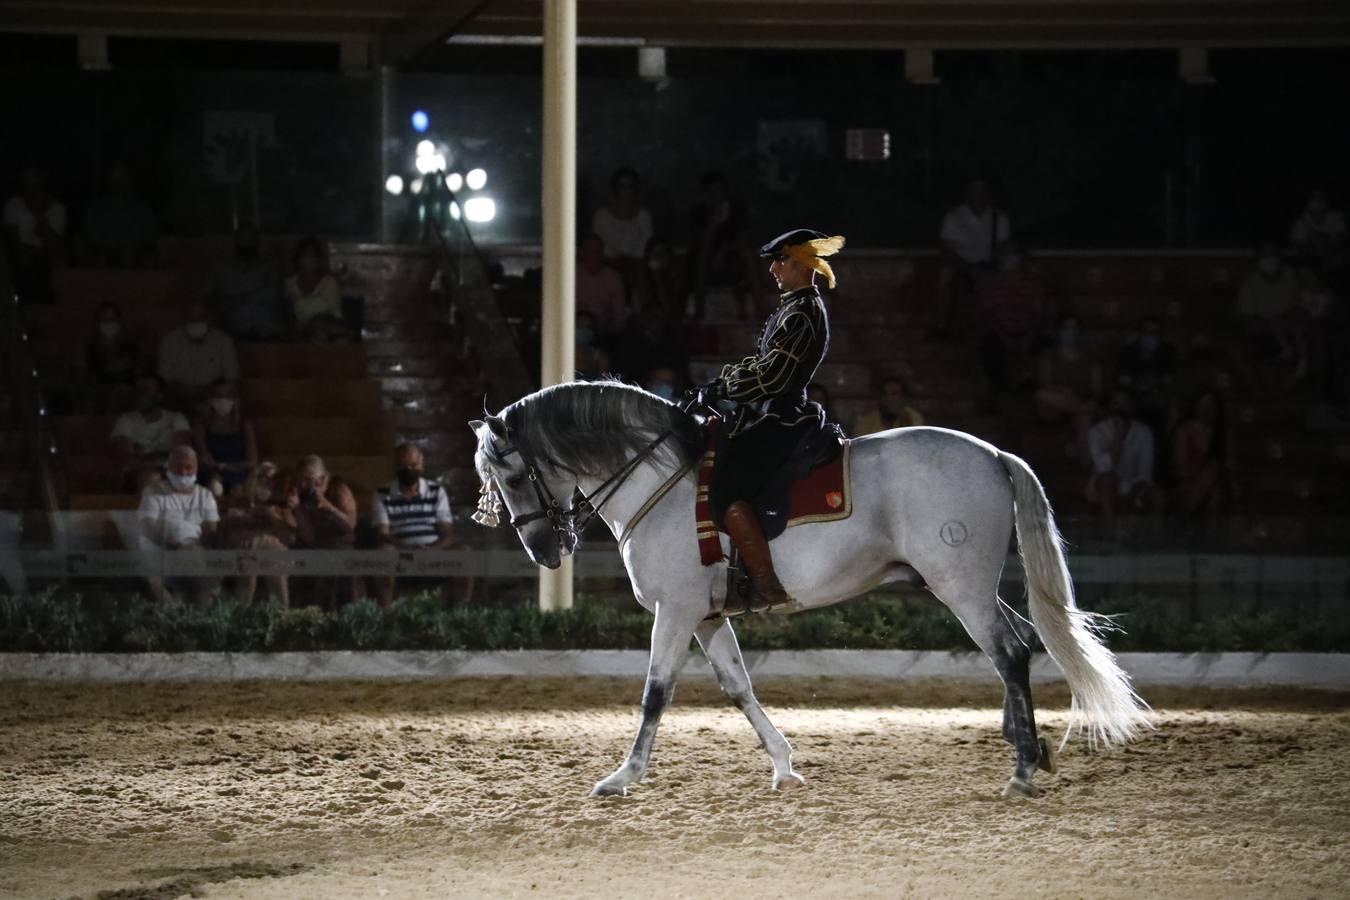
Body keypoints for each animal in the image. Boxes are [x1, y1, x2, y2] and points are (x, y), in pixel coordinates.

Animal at [472, 377, 1150, 793]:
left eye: (512, 474)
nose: (545, 550)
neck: (660, 480)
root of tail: (992, 455)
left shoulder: (676, 610)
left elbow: (655, 694)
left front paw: (624, 777)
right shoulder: (707, 616)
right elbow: (738, 688)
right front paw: (783, 766)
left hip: (959, 586)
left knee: (1008, 652)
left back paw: (1022, 770)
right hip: (972, 586)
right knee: (1022, 645)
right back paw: (1029, 747)